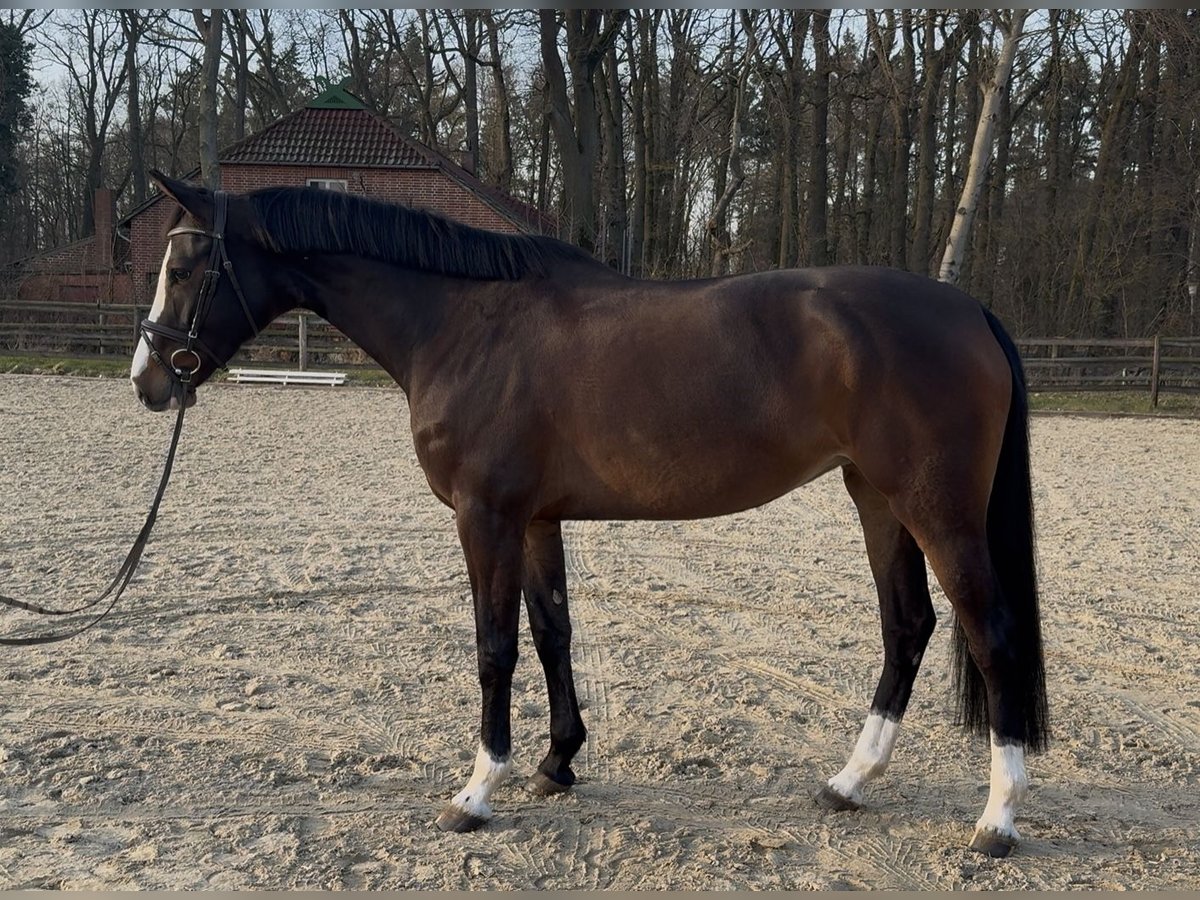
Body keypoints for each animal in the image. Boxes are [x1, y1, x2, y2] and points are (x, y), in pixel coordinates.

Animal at [131, 174, 1046, 859]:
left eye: (189, 264)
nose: (148, 379)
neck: (463, 325)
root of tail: (970, 310)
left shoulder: (486, 517)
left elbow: (494, 648)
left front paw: (477, 791)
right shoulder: (536, 520)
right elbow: (551, 632)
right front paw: (556, 763)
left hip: (934, 508)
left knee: (990, 632)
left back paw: (996, 821)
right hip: (875, 497)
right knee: (909, 626)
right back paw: (848, 783)